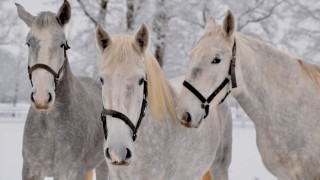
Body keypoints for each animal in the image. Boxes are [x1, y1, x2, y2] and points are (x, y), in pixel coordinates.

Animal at [15, 0, 107, 179]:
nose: (41, 98)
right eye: (28, 43)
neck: (51, 128)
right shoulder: (31, 170)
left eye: (62, 45)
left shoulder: (70, 172)